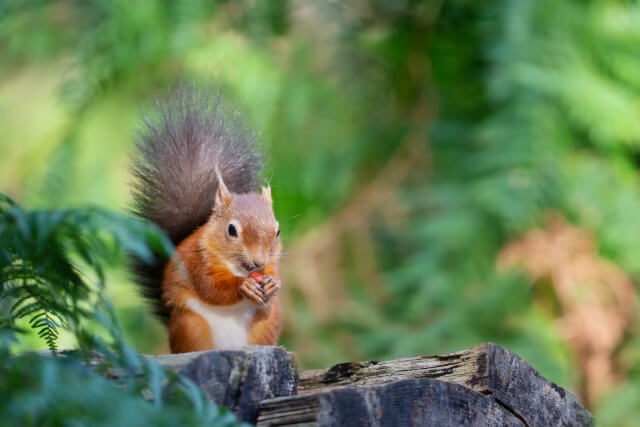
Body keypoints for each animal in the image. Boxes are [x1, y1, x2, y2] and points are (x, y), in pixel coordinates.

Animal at [129, 84, 280, 354]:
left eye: (278, 232)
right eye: (232, 230)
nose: (258, 263)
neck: (238, 268)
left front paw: (272, 284)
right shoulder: (196, 261)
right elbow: (212, 289)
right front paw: (242, 287)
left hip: (265, 326)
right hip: (191, 325)